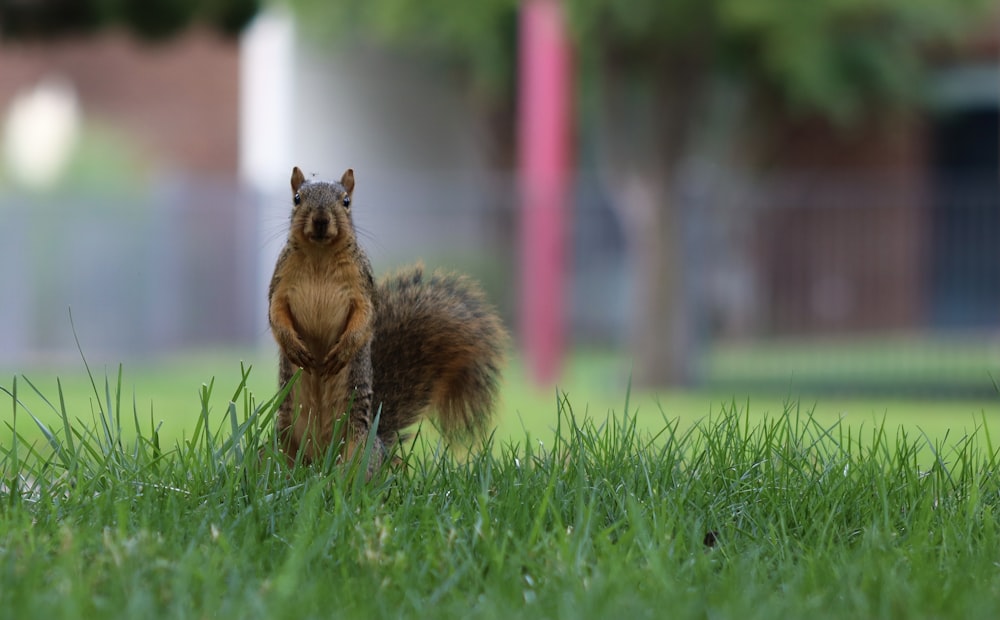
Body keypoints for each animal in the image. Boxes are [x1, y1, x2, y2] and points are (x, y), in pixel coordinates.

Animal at [268, 165, 508, 470]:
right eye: (297, 198)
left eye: (346, 201)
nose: (321, 220)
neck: (320, 255)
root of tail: (319, 462)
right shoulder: (280, 282)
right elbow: (275, 313)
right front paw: (293, 346)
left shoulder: (362, 287)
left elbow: (365, 316)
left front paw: (344, 349)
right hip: (280, 443)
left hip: (358, 448)